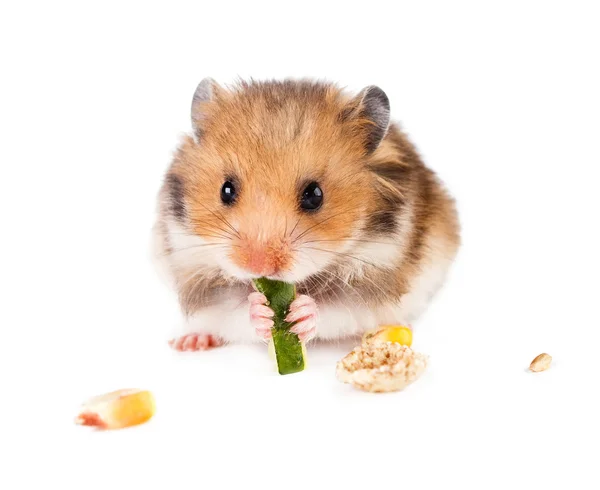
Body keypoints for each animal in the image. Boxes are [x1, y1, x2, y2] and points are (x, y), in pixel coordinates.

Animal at [151, 78, 460, 350]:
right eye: (226, 190)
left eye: (314, 195)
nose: (258, 267)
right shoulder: (194, 267)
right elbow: (233, 308)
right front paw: (259, 310)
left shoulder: (374, 273)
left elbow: (335, 308)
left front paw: (303, 311)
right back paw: (189, 342)